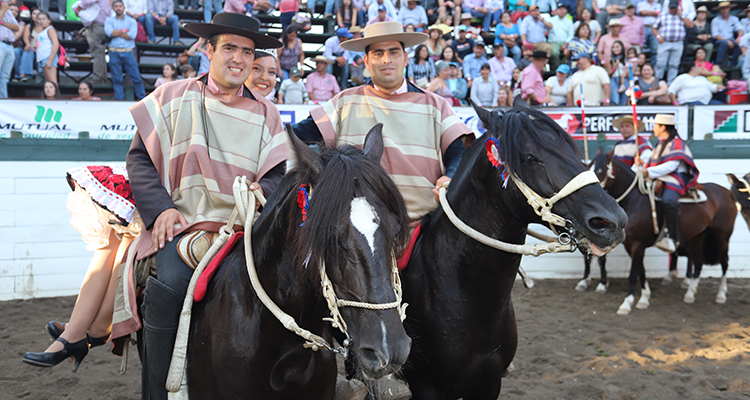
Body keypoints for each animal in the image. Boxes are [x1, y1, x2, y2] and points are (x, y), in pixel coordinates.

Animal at [592, 152, 740, 310]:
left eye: (600, 171)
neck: (634, 201)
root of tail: (727, 192)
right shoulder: (631, 245)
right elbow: (641, 271)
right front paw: (644, 298)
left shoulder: (637, 244)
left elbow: (633, 274)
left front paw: (627, 303)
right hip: (697, 236)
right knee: (699, 262)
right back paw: (690, 294)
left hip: (722, 236)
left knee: (724, 262)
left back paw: (721, 295)